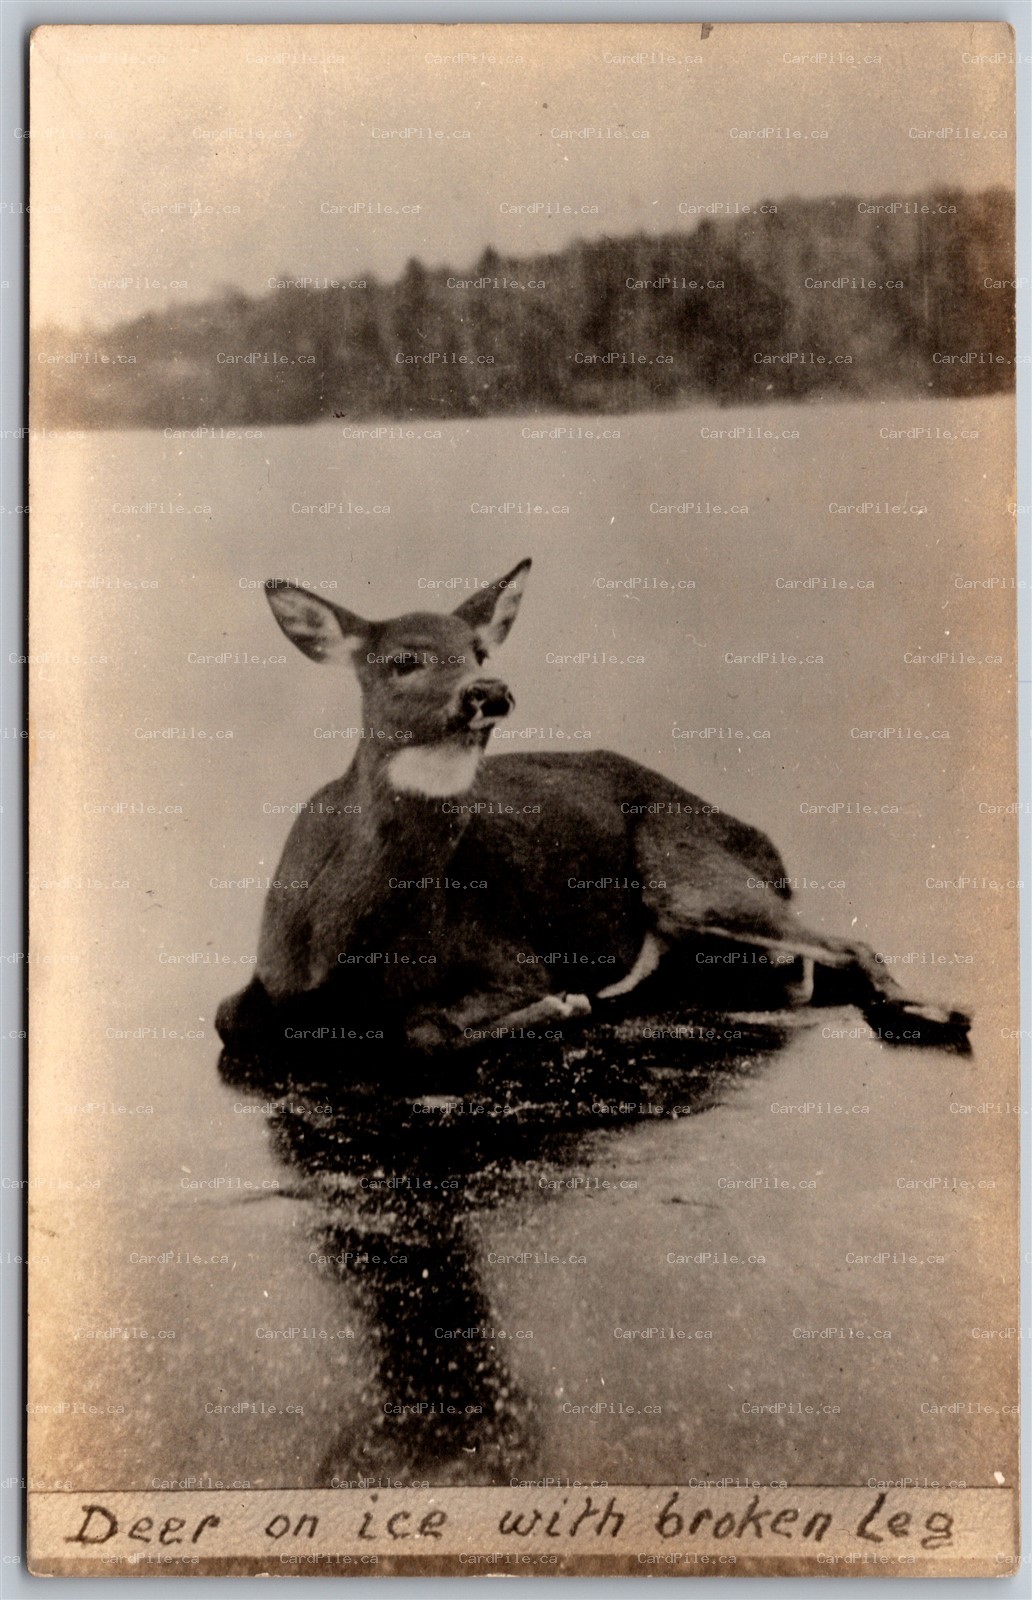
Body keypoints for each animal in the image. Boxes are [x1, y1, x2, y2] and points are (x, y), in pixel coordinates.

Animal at [215, 559, 971, 1058]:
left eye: (478, 648)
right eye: (403, 660)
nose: (488, 689)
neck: (352, 942)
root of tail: (764, 844)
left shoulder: (508, 953)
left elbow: (423, 1028)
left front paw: (560, 1005)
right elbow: (229, 1020)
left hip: (689, 875)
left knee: (849, 944)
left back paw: (941, 1012)